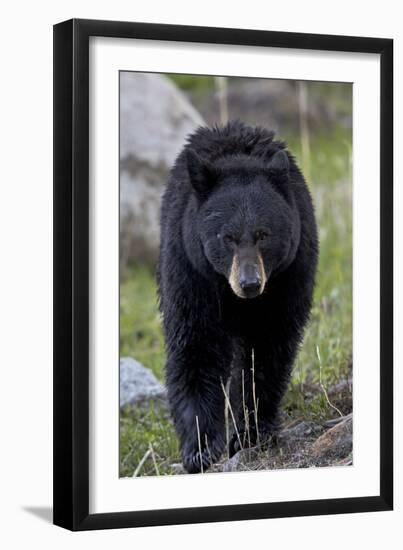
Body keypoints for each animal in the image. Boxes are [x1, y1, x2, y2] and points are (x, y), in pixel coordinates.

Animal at [158, 121, 318, 474]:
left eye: (263, 235)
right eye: (227, 237)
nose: (249, 283)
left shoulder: (287, 277)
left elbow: (266, 349)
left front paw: (250, 433)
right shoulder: (191, 271)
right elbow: (196, 344)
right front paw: (200, 448)